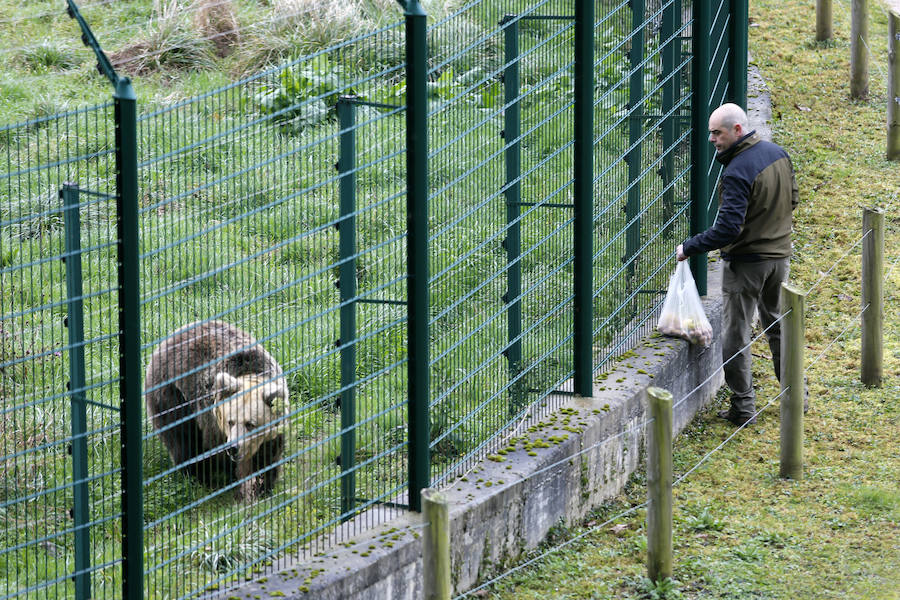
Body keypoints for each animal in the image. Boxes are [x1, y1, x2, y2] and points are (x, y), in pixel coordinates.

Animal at [144, 324, 286, 502]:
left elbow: (268, 457)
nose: (233, 447)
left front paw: (263, 488)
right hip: (172, 396)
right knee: (184, 440)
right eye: (230, 421)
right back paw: (198, 478)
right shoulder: (214, 424)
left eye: (251, 424)